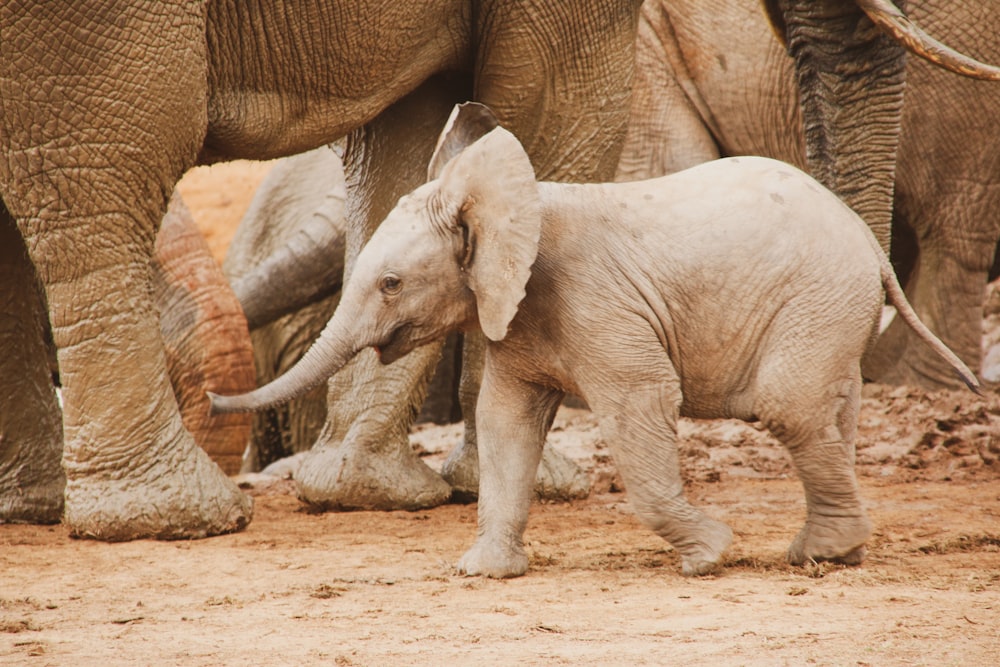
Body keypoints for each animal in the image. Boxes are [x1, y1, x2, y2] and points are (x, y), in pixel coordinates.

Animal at [0, 1, 640, 544]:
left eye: (392, 285)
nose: (212, 400)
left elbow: (407, 135)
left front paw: (363, 488)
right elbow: (552, 110)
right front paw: (547, 486)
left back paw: (35, 508)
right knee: (106, 169)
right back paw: (172, 520)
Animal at [211, 103, 976, 580]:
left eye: (392, 283)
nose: (215, 397)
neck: (507, 201)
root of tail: (870, 245)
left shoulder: (598, 306)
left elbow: (641, 405)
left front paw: (709, 557)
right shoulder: (517, 318)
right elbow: (505, 422)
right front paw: (484, 573)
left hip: (817, 298)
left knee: (789, 407)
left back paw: (816, 555)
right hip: (831, 311)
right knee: (830, 412)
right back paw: (831, 555)